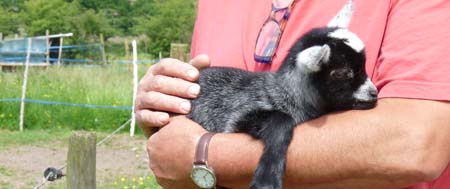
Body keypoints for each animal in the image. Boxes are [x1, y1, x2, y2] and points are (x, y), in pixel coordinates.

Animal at [186, 0, 376, 188]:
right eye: (341, 74)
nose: (374, 94)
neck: (286, 94)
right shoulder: (237, 118)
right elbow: (282, 120)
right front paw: (267, 179)